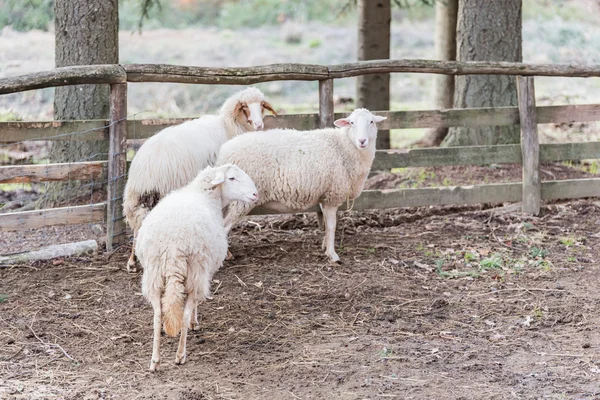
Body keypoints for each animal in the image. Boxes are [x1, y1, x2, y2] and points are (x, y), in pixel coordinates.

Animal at [125, 85, 278, 270]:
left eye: (262, 105)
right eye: (244, 106)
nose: (258, 124)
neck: (229, 125)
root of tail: (146, 169)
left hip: (136, 198)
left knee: (138, 223)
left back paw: (132, 260)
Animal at [137, 162, 258, 372]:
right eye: (232, 178)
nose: (255, 194)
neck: (206, 195)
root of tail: (173, 243)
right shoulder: (205, 270)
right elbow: (194, 305)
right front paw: (195, 323)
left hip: (154, 274)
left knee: (157, 315)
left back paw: (155, 360)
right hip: (195, 270)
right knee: (185, 313)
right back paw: (180, 354)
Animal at [216, 108, 384, 262]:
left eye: (371, 122)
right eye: (351, 123)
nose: (362, 141)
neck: (343, 146)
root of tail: (224, 152)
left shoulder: (324, 195)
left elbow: (326, 225)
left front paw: (325, 246)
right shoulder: (332, 195)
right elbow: (331, 226)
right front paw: (332, 255)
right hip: (241, 200)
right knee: (224, 226)